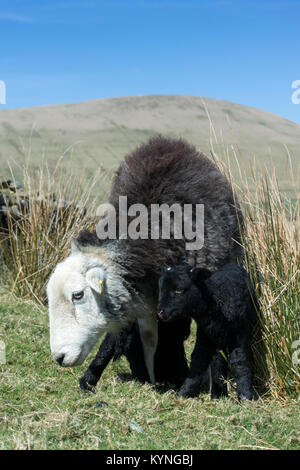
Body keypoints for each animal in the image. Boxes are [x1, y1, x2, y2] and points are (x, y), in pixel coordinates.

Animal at [47, 133, 244, 386]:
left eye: (78, 295)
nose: (59, 357)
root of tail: (169, 141)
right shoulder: (135, 296)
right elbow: (138, 336)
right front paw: (92, 378)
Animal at [157, 264, 258, 400]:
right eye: (161, 290)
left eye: (179, 290)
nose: (160, 312)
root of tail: (232, 265)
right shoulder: (204, 335)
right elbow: (198, 361)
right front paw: (184, 393)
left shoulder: (240, 333)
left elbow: (240, 360)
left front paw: (246, 396)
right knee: (218, 361)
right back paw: (218, 394)